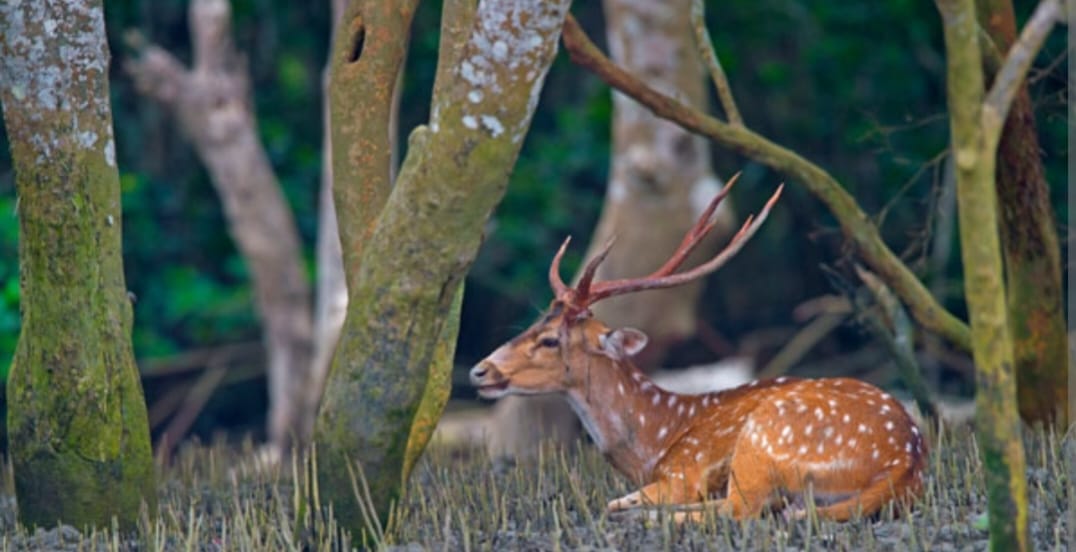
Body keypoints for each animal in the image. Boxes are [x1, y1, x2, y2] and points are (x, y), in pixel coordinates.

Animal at [469, 177, 928, 522]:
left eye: (550, 340)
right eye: (533, 325)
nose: (479, 370)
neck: (653, 441)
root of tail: (904, 462)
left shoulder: (683, 471)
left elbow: (621, 500)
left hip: (763, 437)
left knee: (739, 509)